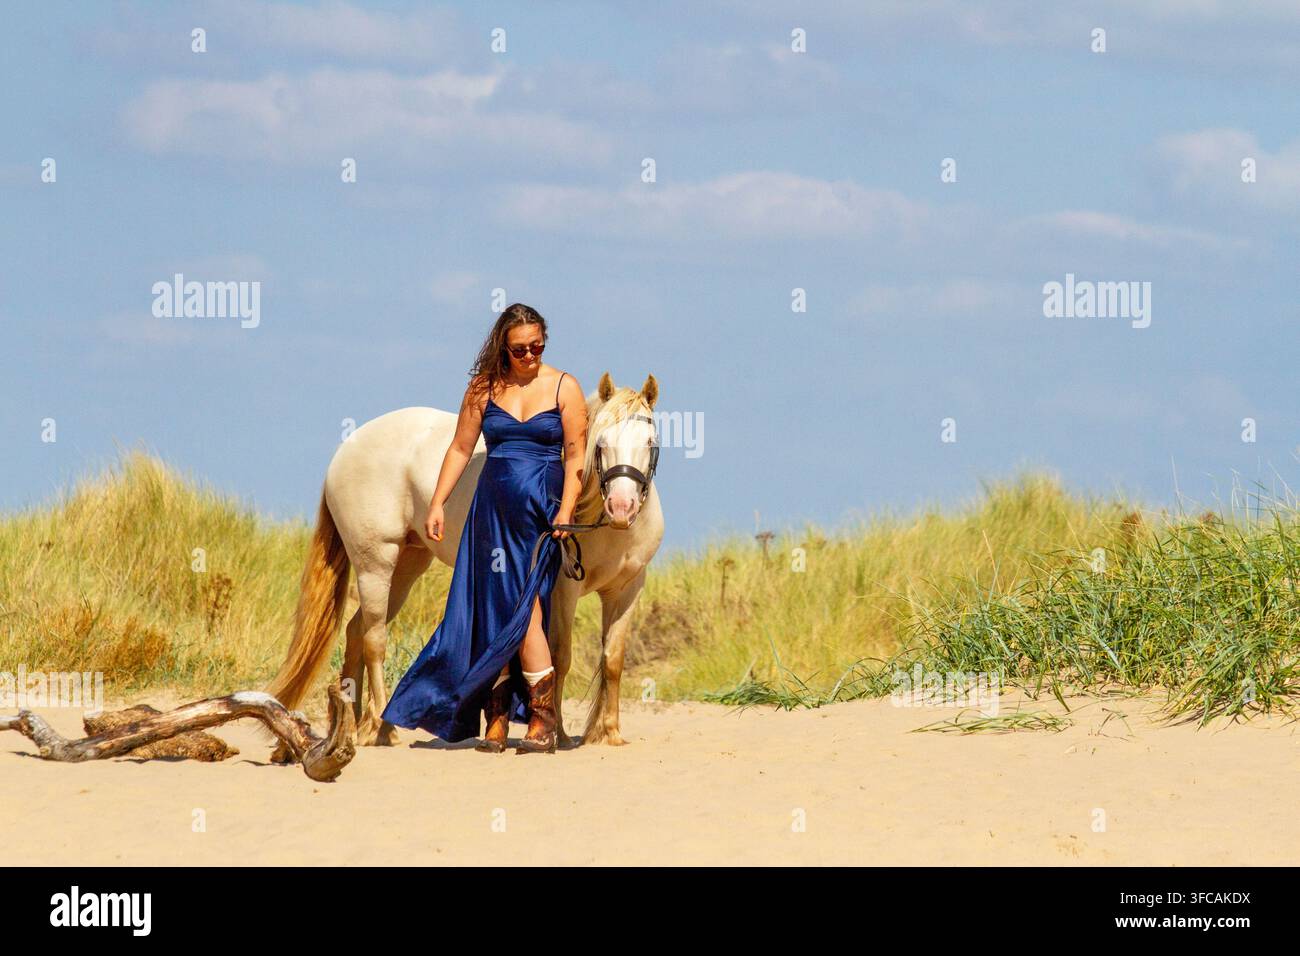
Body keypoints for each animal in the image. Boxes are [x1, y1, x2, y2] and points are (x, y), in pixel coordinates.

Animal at [265, 372, 664, 750]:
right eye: (601, 443)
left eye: (649, 443)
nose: (622, 507)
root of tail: (348, 448)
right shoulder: (565, 588)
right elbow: (560, 655)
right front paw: (562, 735)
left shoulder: (628, 589)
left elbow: (613, 660)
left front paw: (609, 733)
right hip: (376, 563)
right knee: (374, 638)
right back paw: (382, 726)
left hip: (407, 567)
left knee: (355, 631)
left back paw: (357, 726)